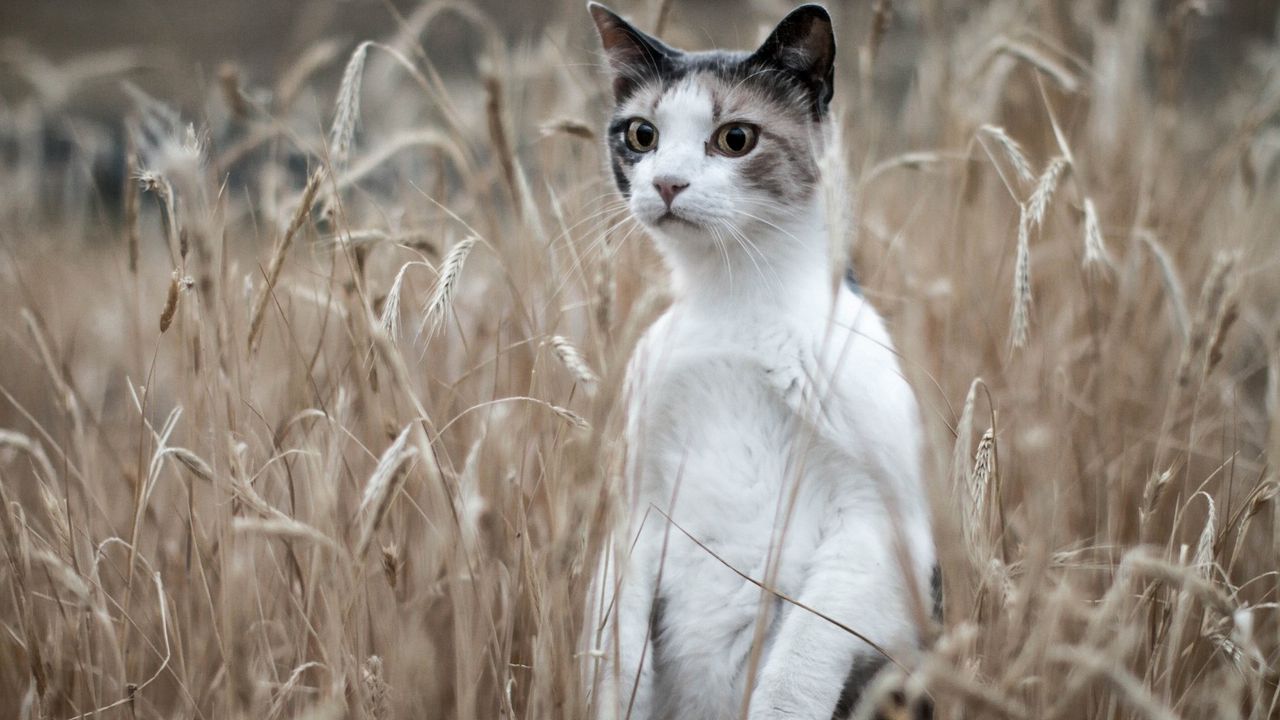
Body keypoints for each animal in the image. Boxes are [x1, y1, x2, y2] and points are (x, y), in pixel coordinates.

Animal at [586, 5, 936, 717]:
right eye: (642, 134)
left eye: (735, 139)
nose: (667, 183)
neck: (733, 299)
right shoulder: (635, 504)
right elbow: (616, 641)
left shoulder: (880, 534)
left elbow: (795, 668)